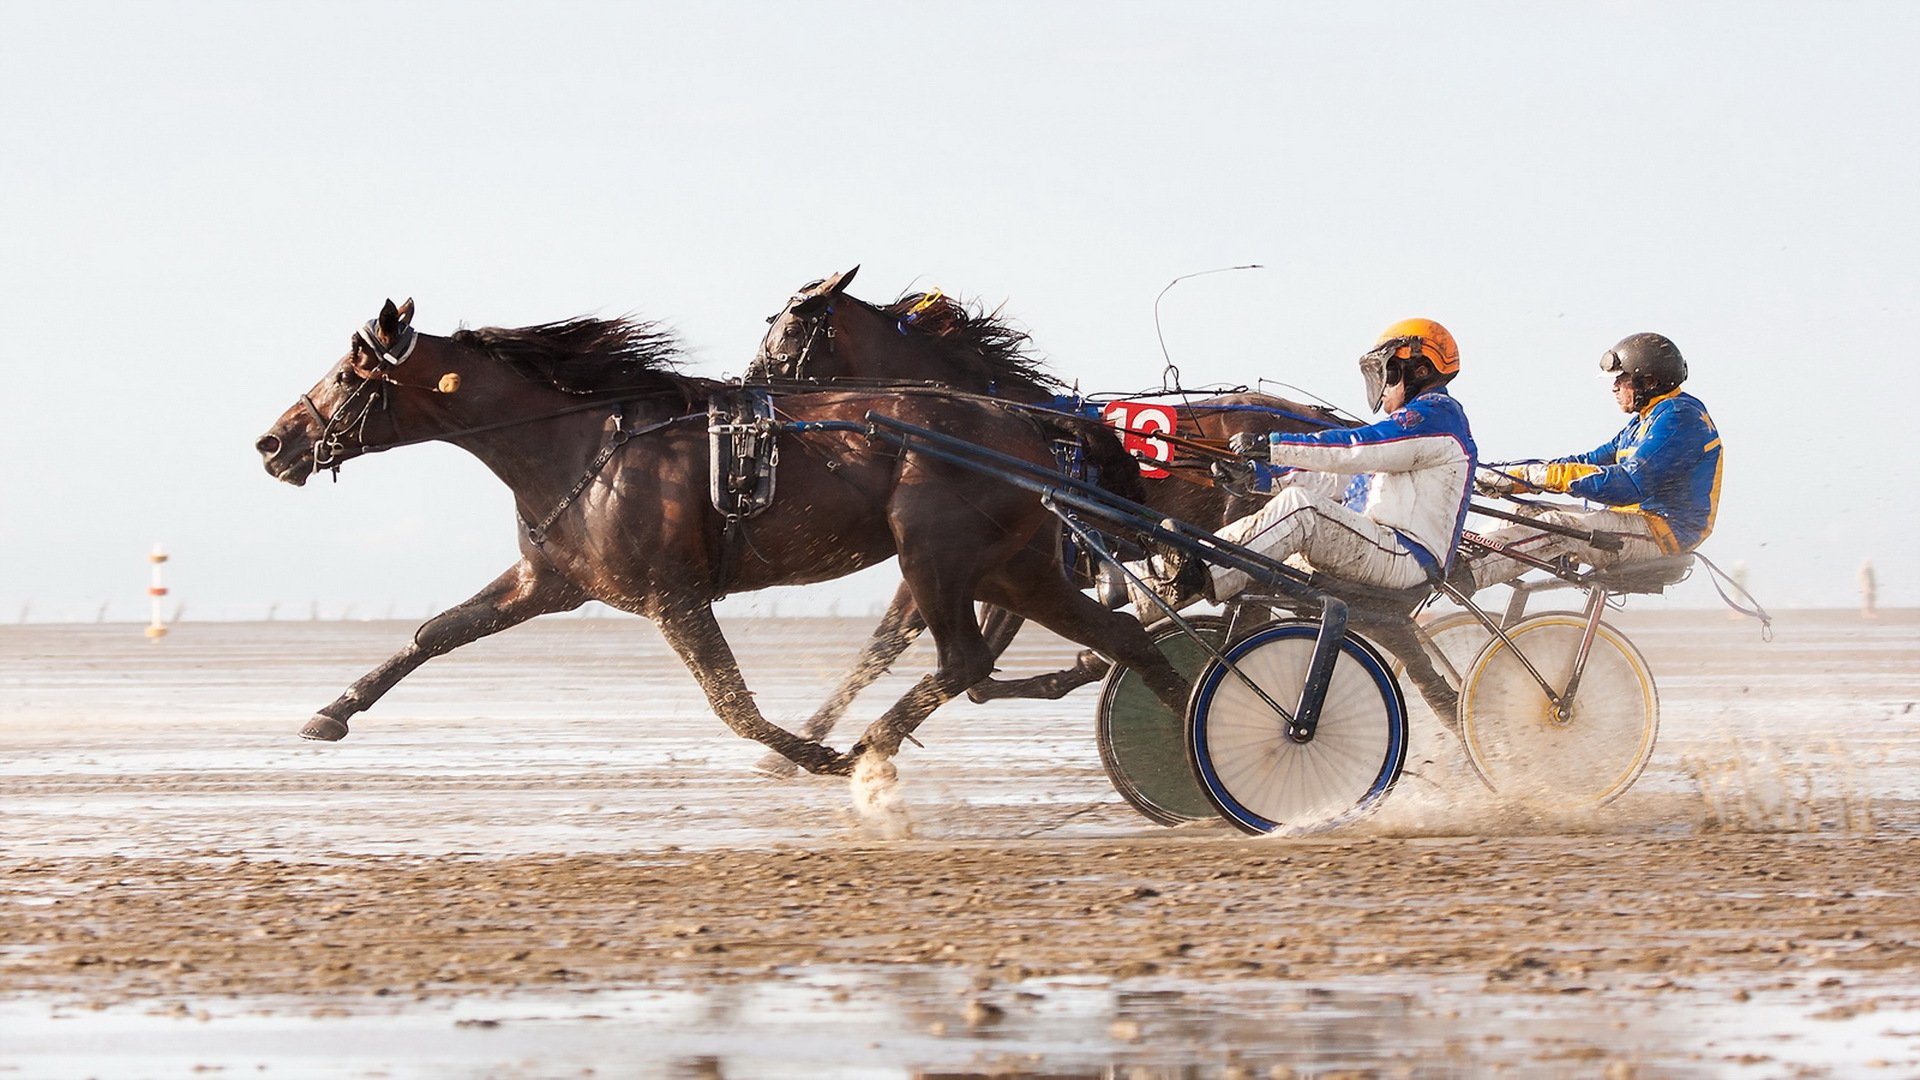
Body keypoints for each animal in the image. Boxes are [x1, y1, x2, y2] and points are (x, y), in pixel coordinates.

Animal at [255, 297, 1190, 768]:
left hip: (935, 550)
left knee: (966, 661)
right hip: (1015, 564)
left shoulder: (671, 595)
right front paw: (331, 712)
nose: (272, 443)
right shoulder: (552, 581)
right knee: (1114, 643)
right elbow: (435, 632)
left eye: (350, 374)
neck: (579, 438)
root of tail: (1023, 421)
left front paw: (807, 754)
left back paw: (867, 749)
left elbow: (729, 700)